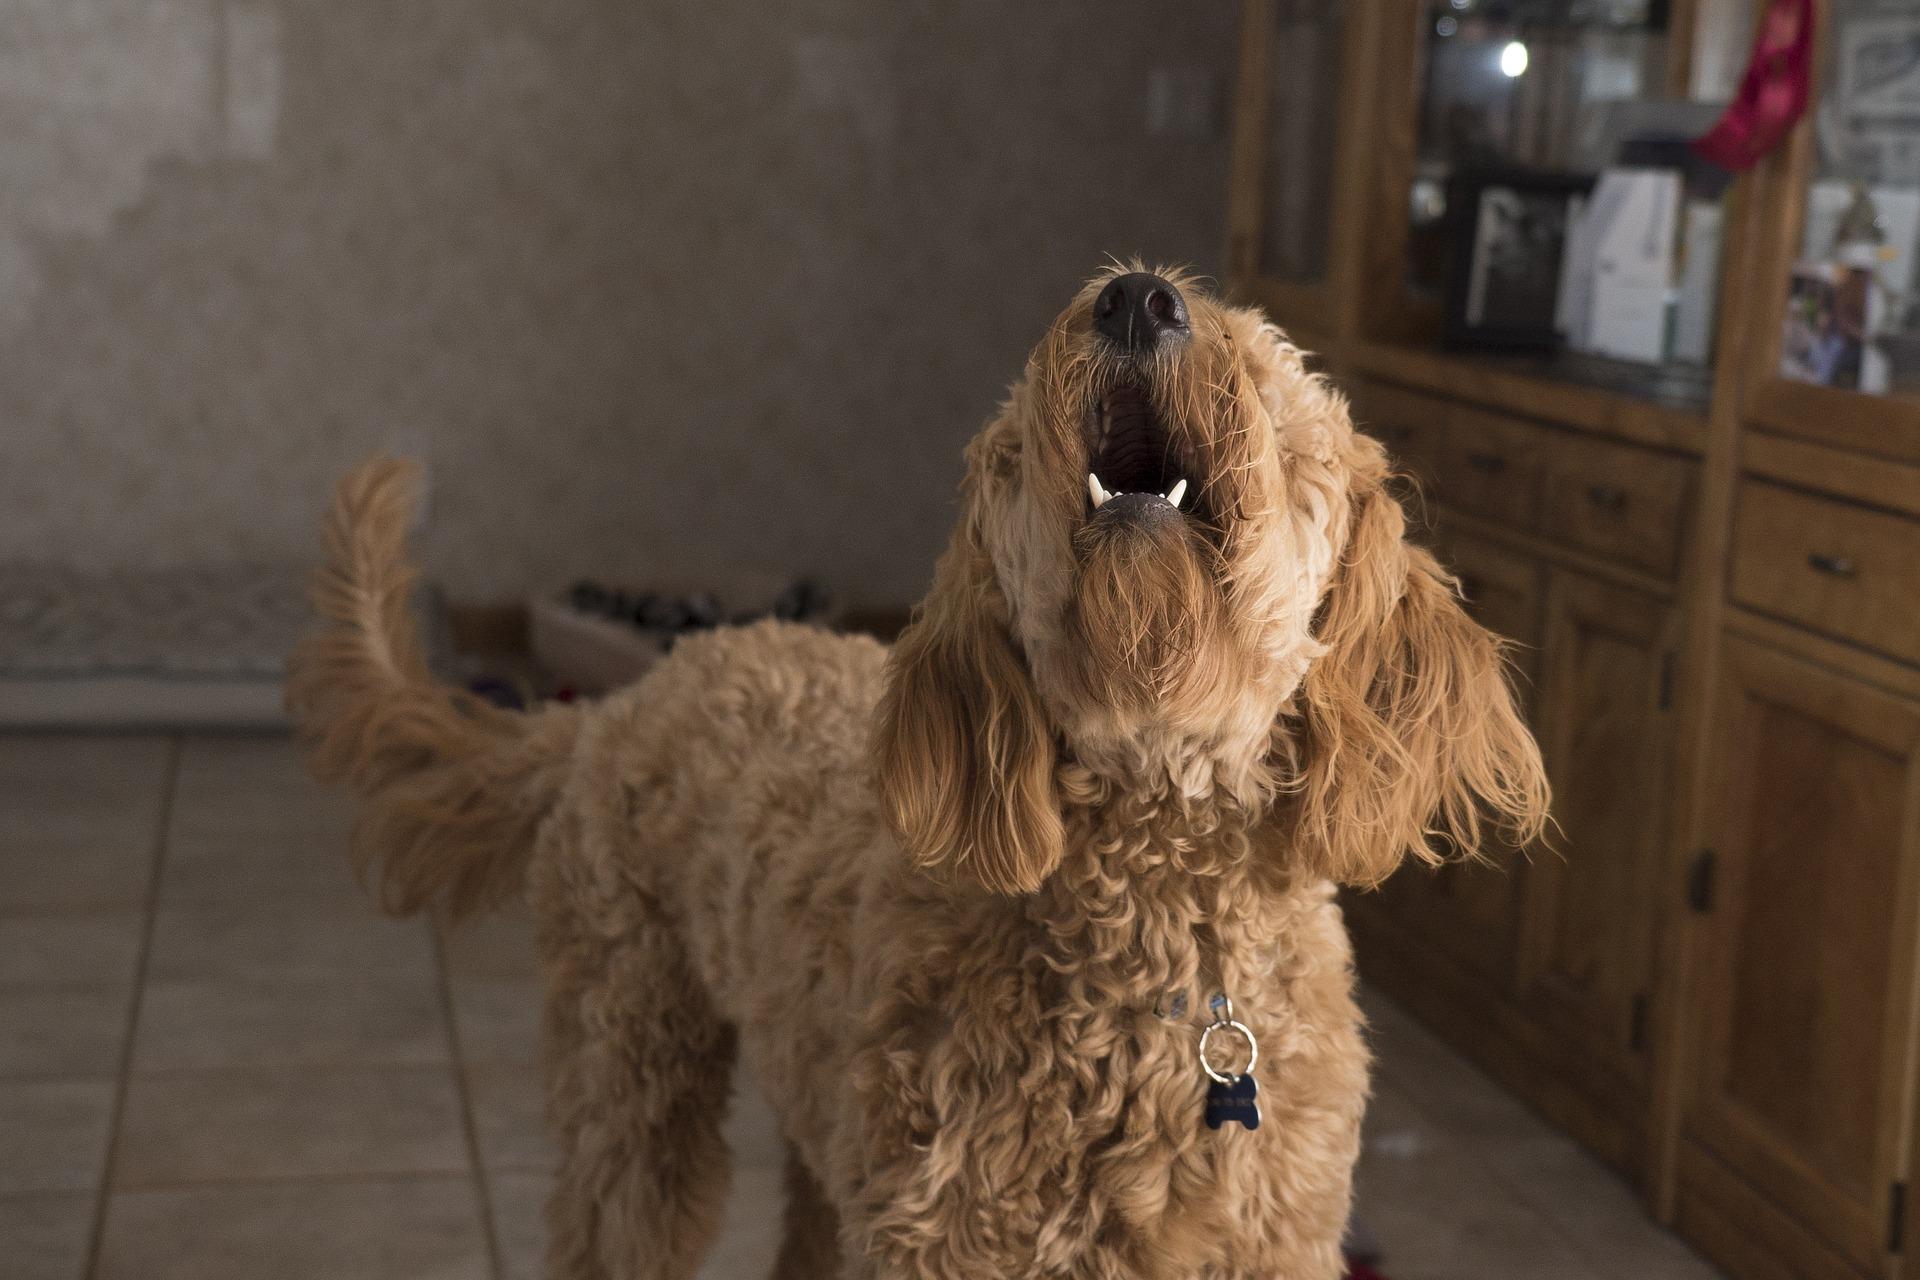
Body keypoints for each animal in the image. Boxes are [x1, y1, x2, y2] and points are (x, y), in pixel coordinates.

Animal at [288, 262, 1543, 1280]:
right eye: (1017, 438)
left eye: (1270, 376)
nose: (1137, 296)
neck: (1150, 932)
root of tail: (623, 701)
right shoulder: (948, 1234)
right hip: (633, 1072)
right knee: (616, 1216)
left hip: (819, 1117)